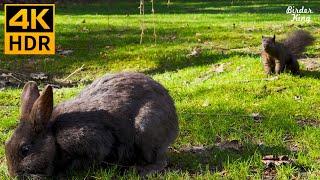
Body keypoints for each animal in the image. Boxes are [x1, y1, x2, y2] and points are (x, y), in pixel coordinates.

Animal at [5, 72, 179, 179]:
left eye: (25, 150)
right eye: (6, 144)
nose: (12, 174)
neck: (53, 136)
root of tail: (174, 119)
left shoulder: (93, 143)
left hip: (146, 132)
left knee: (160, 161)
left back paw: (141, 170)